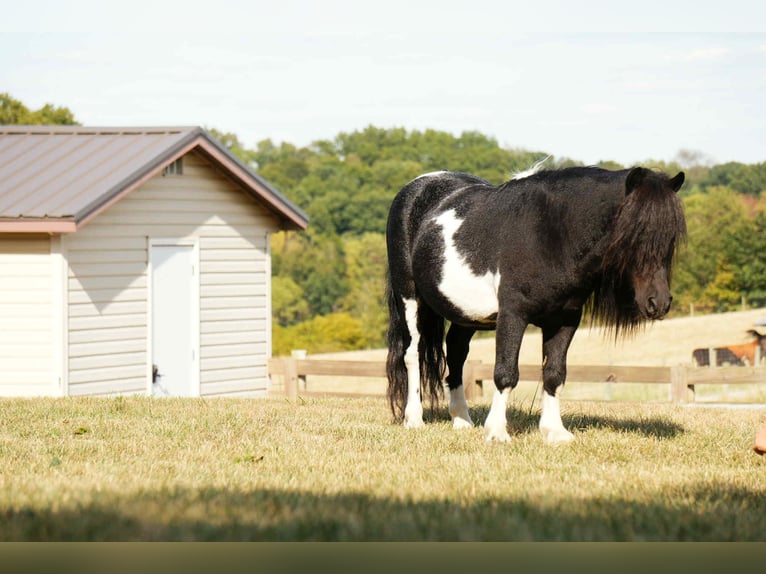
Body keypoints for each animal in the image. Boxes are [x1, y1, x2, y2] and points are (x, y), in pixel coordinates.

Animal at [385, 165, 686, 444]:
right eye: (635, 234)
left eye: (670, 238)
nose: (658, 302)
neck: (552, 233)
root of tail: (417, 188)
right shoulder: (513, 314)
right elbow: (506, 373)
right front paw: (496, 433)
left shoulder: (565, 320)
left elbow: (554, 374)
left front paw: (555, 432)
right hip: (410, 297)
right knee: (413, 354)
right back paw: (414, 419)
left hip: (466, 314)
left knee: (456, 354)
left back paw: (461, 420)